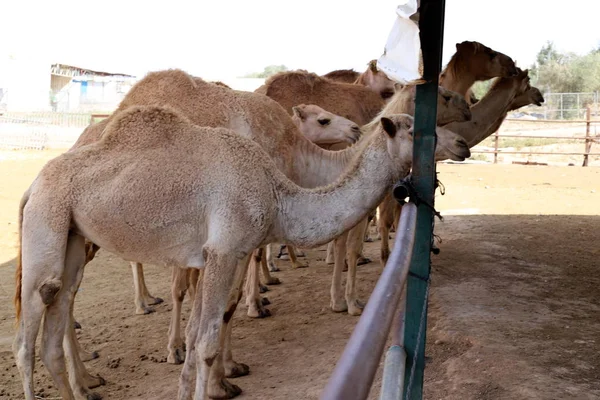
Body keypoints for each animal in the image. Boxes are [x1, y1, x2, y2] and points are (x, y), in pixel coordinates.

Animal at [10, 106, 468, 400]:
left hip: (72, 238)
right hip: (45, 226)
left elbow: (196, 338)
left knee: (55, 321)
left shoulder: (215, 255)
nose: (462, 143)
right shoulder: (227, 249)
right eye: (414, 130)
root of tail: (31, 186)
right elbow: (207, 342)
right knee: (26, 338)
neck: (279, 197)